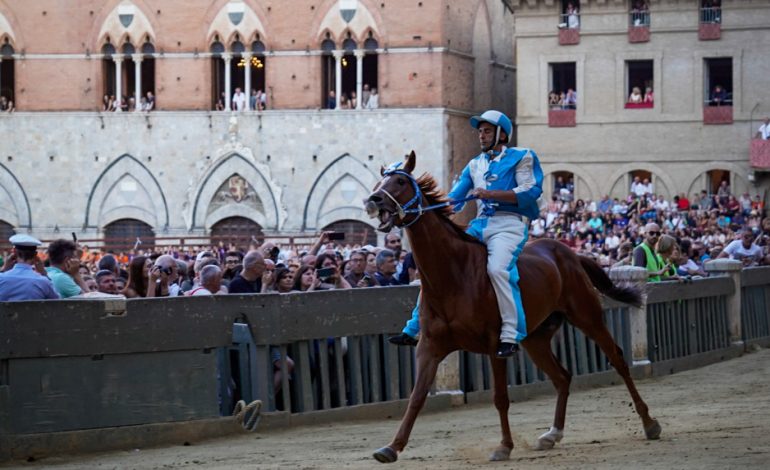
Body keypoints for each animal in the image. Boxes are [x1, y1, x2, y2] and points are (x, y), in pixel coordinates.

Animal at [366, 151, 660, 462]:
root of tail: (570, 253)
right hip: (536, 338)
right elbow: (416, 397)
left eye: (400, 181)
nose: (374, 199)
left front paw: (504, 446)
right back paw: (552, 434)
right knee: (562, 377)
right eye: (380, 181)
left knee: (618, 359)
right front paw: (391, 447)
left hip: (587, 316)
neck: (453, 274)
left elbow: (500, 397)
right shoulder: (430, 346)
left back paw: (649, 423)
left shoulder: (495, 344)